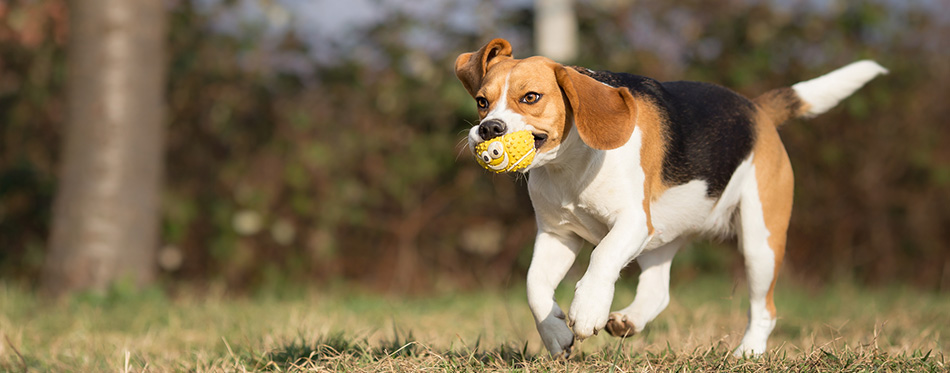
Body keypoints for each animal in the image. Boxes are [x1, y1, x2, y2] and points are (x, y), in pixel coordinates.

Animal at [458, 38, 888, 358]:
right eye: (481, 101)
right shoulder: (557, 235)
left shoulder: (632, 222)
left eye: (531, 97)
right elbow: (534, 285)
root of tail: (757, 110)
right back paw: (629, 320)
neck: (570, 164)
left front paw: (587, 310)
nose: (489, 128)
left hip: (759, 241)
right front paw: (555, 334)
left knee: (764, 307)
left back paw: (747, 352)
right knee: (658, 291)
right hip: (662, 235)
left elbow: (602, 257)